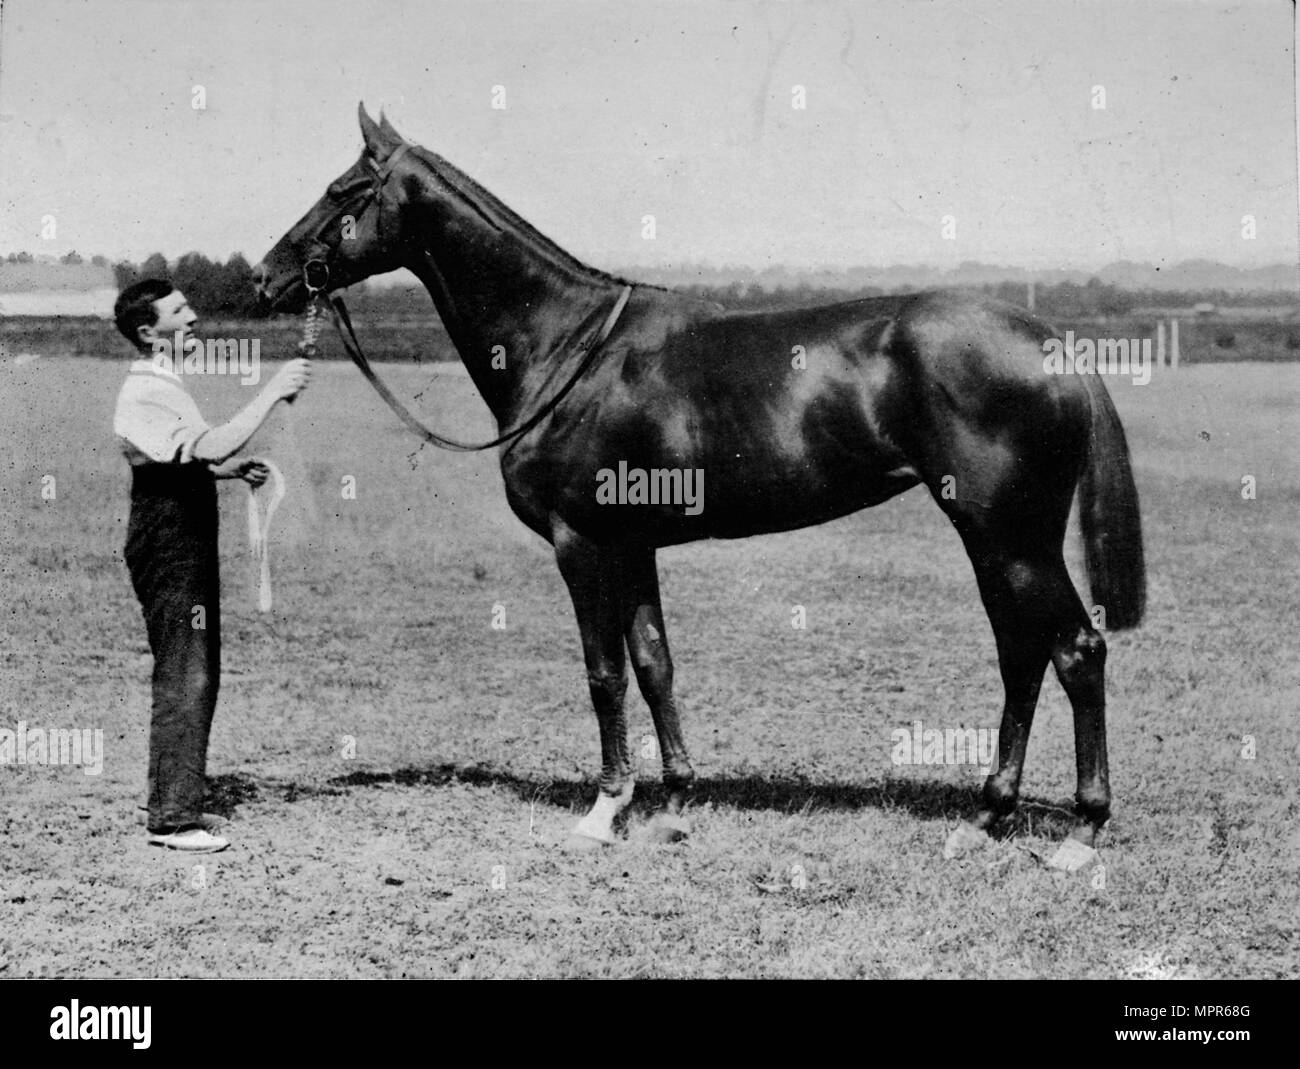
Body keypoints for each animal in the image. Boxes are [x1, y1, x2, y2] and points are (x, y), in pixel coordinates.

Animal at [253, 106, 1149, 868]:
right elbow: (655, 663)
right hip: (997, 539)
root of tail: (1047, 341)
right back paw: (987, 816)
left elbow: (604, 673)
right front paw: (677, 800)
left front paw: (605, 809)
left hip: (1009, 535)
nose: (266, 277)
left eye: (344, 190)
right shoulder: (633, 544)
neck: (568, 347)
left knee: (1075, 649)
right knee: (1023, 654)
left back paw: (1081, 832)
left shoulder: (583, 544)